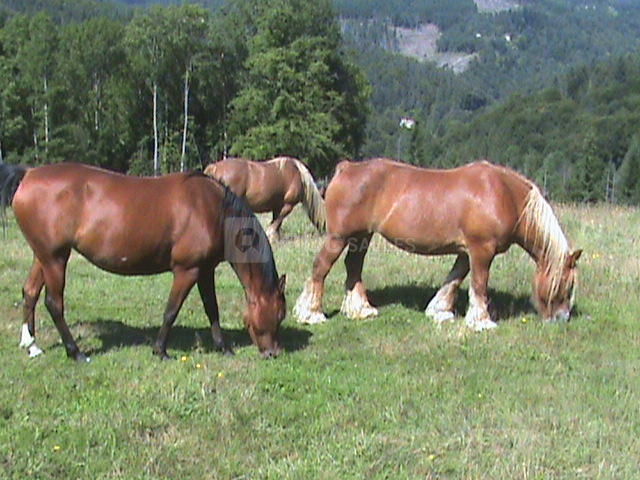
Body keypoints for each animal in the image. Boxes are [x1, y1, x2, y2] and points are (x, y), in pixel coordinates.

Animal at [0, 162, 286, 361]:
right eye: (278, 316)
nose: (273, 353)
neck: (213, 209)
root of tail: (28, 174)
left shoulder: (205, 271)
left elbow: (212, 310)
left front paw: (223, 348)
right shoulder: (187, 271)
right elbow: (171, 311)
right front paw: (160, 350)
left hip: (44, 256)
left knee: (30, 292)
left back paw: (32, 345)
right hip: (55, 258)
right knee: (54, 303)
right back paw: (76, 352)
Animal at [294, 158, 582, 330]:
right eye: (566, 285)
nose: (562, 319)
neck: (504, 194)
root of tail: (347, 167)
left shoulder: (466, 252)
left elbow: (454, 279)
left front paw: (440, 311)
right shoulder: (482, 251)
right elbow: (479, 284)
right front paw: (482, 322)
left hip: (361, 237)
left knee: (353, 267)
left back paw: (361, 309)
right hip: (339, 237)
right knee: (320, 268)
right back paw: (311, 314)